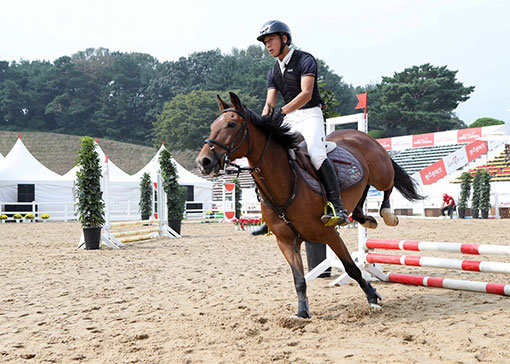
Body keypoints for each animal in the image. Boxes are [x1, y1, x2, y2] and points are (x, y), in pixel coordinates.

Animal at [195, 91, 422, 318]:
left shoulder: (329, 234)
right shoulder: (286, 241)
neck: (285, 184)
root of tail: (359, 134)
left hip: (381, 174)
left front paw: (372, 298)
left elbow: (352, 268)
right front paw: (302, 312)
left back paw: (387, 214)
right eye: (213, 125)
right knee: (363, 195)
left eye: (231, 124)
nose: (203, 162)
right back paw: (365, 218)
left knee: (388, 184)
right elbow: (299, 279)